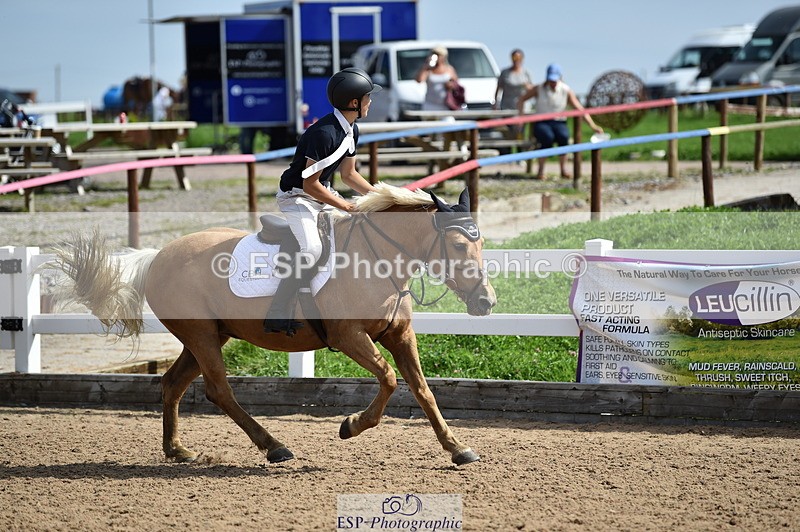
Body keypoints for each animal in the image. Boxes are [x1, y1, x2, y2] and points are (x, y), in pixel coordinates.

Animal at [48, 184, 496, 466]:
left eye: (481, 243)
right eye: (459, 245)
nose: (486, 302)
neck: (378, 259)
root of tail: (157, 256)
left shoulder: (399, 336)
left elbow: (423, 391)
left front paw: (457, 448)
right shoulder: (349, 336)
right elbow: (388, 379)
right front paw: (351, 426)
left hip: (208, 336)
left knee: (173, 384)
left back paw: (178, 450)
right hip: (202, 336)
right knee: (219, 390)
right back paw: (274, 447)